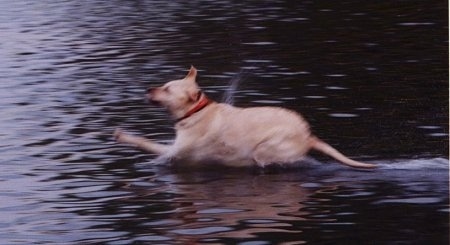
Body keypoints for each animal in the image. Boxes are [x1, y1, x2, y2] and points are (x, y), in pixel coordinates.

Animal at [113, 66, 376, 168]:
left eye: (167, 89)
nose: (148, 89)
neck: (196, 111)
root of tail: (308, 136)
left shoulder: (174, 152)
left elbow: (145, 143)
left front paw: (123, 136)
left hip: (265, 151)